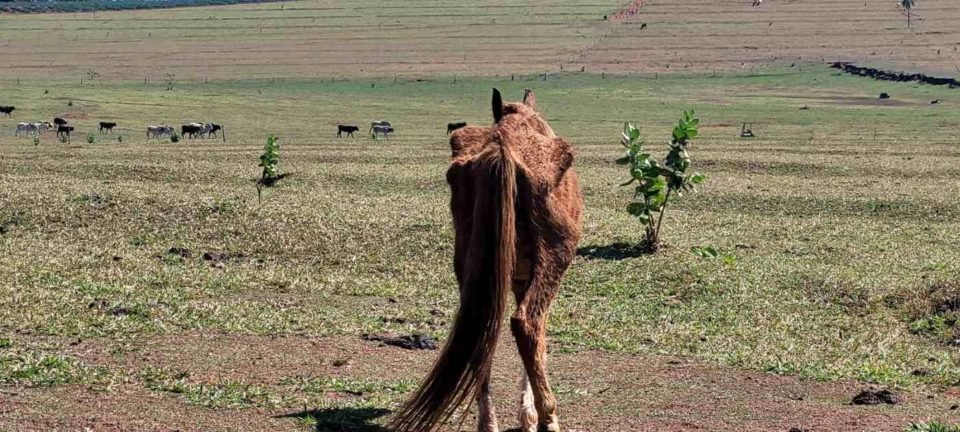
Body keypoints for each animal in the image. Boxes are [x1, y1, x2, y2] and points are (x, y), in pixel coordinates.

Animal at [390, 88, 584, 432]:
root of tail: (501, 151)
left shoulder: (515, 279)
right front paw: (531, 416)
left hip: (475, 268)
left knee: (483, 332)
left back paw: (488, 423)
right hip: (554, 257)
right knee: (527, 325)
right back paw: (549, 418)